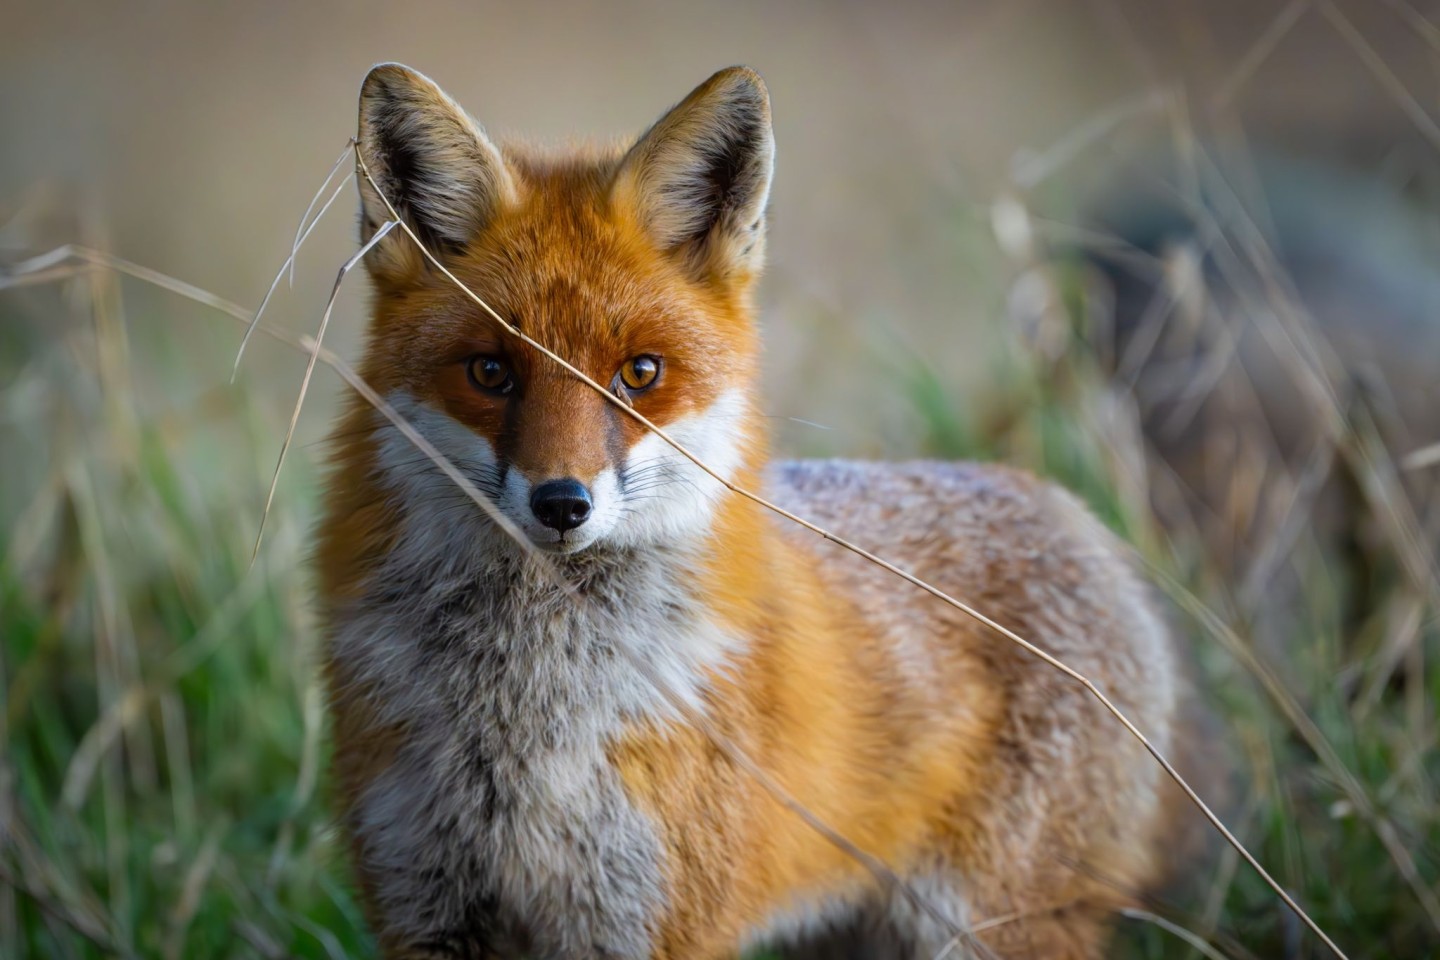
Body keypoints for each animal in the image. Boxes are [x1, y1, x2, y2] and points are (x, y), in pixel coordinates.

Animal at [318, 61, 1203, 960]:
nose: (563, 502)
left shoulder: (649, 920)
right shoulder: (424, 898)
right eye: (490, 372)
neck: (533, 707)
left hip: (980, 929)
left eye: (640, 373)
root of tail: (1071, 513)